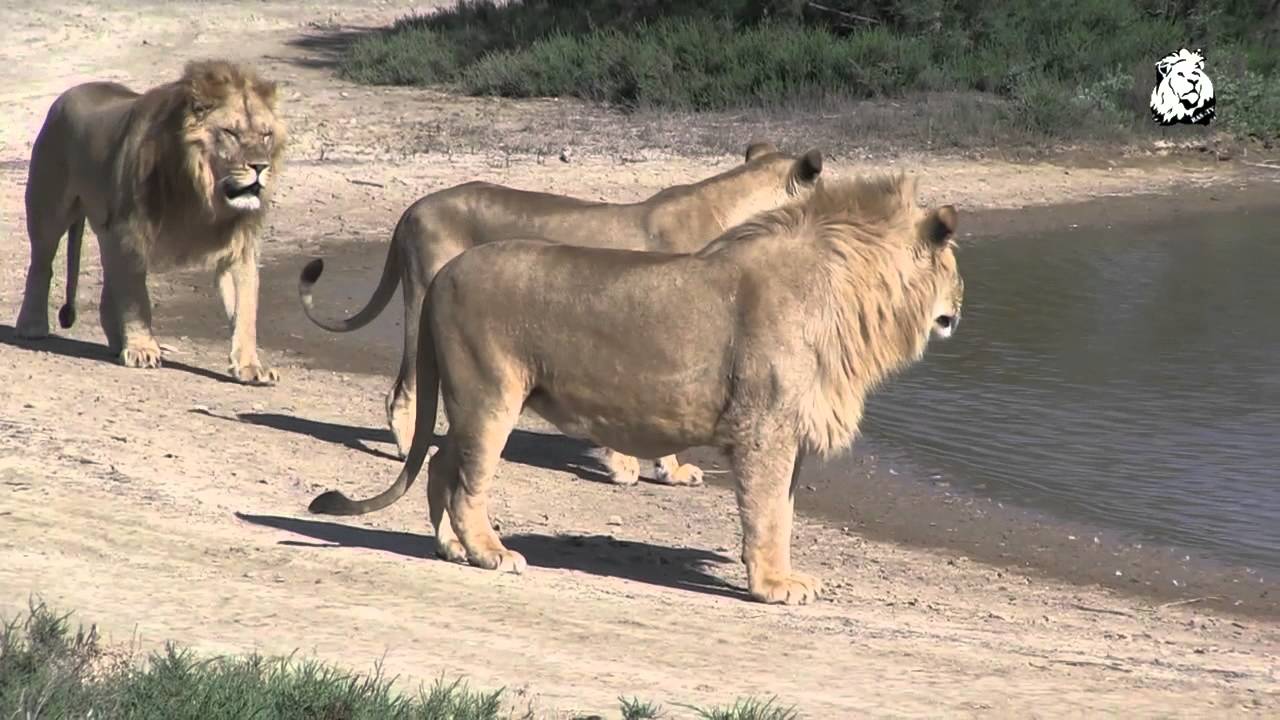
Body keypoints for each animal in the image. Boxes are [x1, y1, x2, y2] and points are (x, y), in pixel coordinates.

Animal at [15, 59, 286, 384]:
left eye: (266, 135)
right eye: (230, 132)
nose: (261, 167)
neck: (204, 196)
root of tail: (70, 92)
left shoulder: (239, 249)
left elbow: (245, 311)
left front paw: (249, 366)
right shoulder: (131, 234)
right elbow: (136, 298)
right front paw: (142, 349)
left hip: (105, 228)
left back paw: (116, 340)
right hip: (49, 210)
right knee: (41, 265)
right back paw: (32, 326)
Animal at [298, 142, 825, 487]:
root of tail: (413, 207)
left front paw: (668, 471)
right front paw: (627, 467)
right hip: (423, 299)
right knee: (402, 389)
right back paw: (410, 446)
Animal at [308, 173, 965, 605]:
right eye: (957, 272)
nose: (960, 313)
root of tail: (447, 272)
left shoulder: (790, 433)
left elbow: (784, 512)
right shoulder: (765, 431)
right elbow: (768, 514)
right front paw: (772, 587)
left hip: (470, 403)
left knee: (442, 464)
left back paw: (450, 548)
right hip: (490, 397)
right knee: (467, 480)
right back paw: (491, 552)